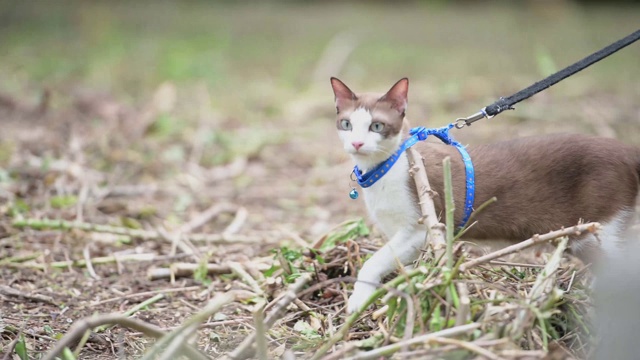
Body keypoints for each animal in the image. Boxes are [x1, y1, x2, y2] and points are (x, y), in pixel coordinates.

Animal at [332, 76, 640, 312]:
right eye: (346, 124)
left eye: (377, 126)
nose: (357, 143)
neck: (380, 173)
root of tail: (627, 150)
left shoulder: (420, 227)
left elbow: (372, 263)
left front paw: (356, 303)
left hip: (601, 224)